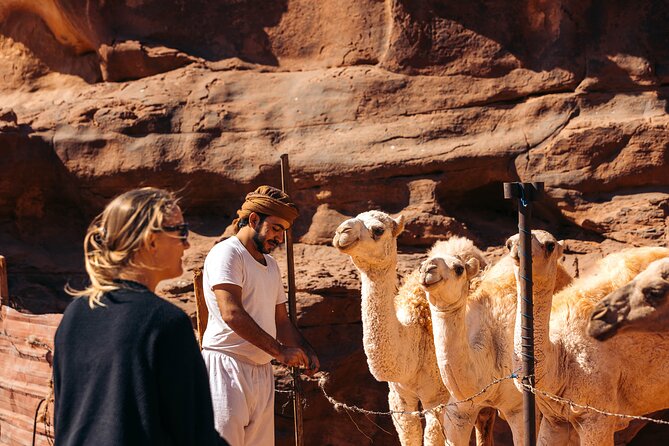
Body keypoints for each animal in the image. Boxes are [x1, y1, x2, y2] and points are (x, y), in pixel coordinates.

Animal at [333, 211, 495, 446]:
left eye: (378, 229)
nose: (341, 232)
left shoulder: (437, 397)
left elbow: (431, 438)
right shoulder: (399, 397)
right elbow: (409, 437)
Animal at [508, 232, 669, 445]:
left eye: (550, 245)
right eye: (509, 244)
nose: (518, 249)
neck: (560, 357)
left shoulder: (598, 415)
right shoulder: (555, 419)